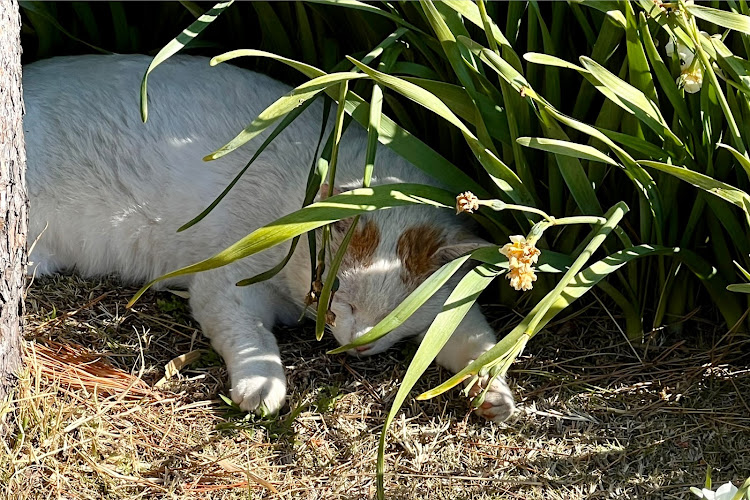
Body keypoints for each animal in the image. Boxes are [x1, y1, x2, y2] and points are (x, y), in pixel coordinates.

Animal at [23, 53, 516, 422]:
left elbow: (477, 341)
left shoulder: (455, 308)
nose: (360, 340)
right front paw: (262, 386)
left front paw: (491, 389)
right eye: (335, 287)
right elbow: (252, 339)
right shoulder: (227, 285)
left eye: (405, 308)